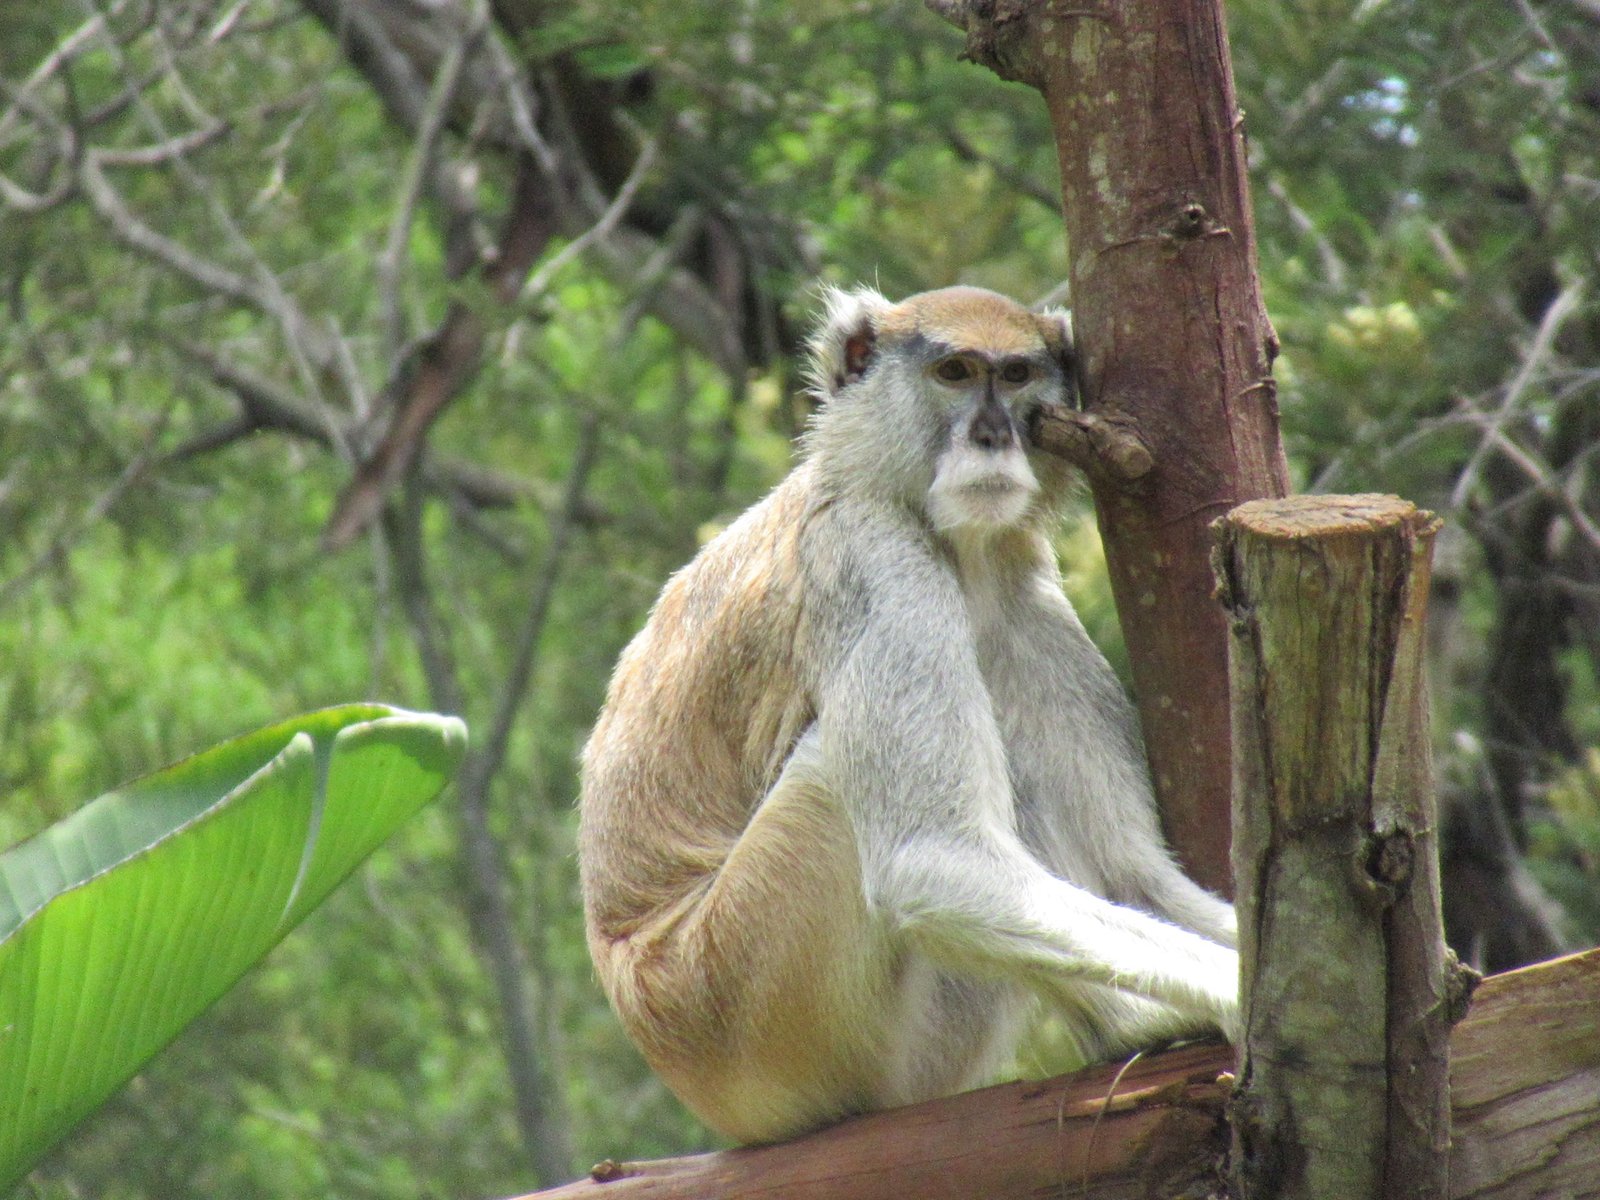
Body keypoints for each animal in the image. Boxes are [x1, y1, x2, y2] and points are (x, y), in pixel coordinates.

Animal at [578, 285, 1239, 1145]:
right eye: (954, 372)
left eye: (1017, 375)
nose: (993, 435)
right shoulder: (873, 561)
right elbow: (932, 863)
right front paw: (1241, 990)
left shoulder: (1022, 596)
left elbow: (1136, 874)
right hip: (752, 1004)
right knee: (833, 770)